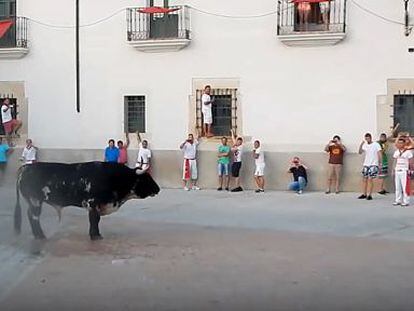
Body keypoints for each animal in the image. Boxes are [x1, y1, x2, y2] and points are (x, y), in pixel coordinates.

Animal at [14, 163, 160, 241]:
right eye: (146, 178)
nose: (158, 189)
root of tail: (26, 167)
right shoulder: (92, 203)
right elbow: (94, 220)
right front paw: (95, 236)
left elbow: (96, 220)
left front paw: (95, 234)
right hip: (35, 201)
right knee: (33, 217)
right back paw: (40, 236)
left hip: (33, 202)